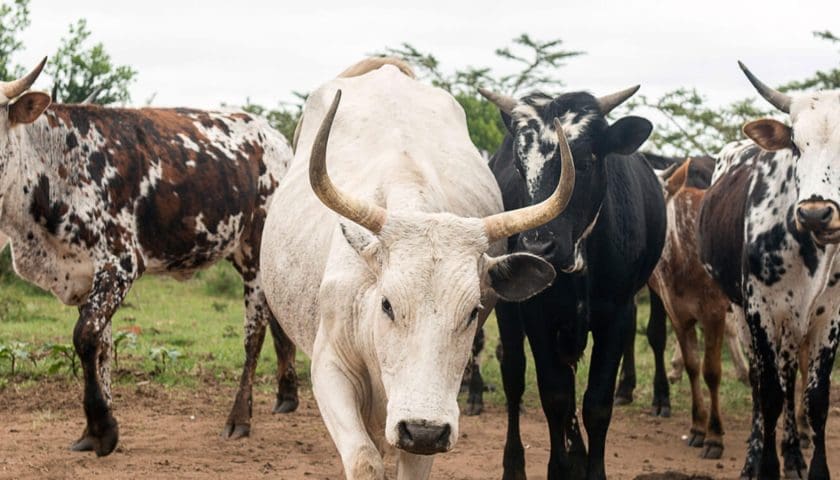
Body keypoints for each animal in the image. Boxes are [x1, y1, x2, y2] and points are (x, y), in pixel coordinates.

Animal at [0, 58, 298, 456]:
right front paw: (93, 429)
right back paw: (287, 394)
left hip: (255, 249)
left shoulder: (119, 263)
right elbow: (102, 347)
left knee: (255, 333)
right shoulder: (83, 274)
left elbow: (85, 337)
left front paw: (102, 427)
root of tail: (278, 140)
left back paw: (240, 418)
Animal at [480, 85, 666, 479]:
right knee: (514, 378)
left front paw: (590, 469)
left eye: (585, 161)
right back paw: (515, 464)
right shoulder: (536, 314)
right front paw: (558, 468)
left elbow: (597, 403)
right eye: (520, 167)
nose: (537, 247)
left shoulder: (618, 315)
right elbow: (555, 395)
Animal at [699, 61, 840, 480]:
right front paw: (764, 467)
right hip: (740, 312)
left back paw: (793, 454)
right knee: (762, 385)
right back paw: (755, 456)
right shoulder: (760, 310)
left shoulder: (829, 315)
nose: (816, 213)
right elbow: (770, 395)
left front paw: (812, 467)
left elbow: (815, 399)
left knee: (788, 373)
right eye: (795, 143)